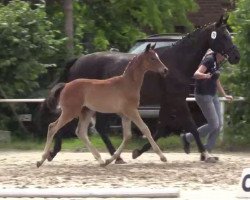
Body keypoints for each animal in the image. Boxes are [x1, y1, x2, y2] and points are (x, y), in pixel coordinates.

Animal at [36, 44, 168, 167]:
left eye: (157, 56)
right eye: (152, 58)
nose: (165, 70)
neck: (127, 83)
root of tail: (65, 85)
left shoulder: (125, 115)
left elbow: (127, 136)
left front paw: (112, 159)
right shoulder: (131, 111)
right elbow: (145, 129)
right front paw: (162, 157)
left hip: (86, 112)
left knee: (81, 132)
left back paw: (101, 160)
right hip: (70, 112)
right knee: (52, 127)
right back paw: (41, 160)